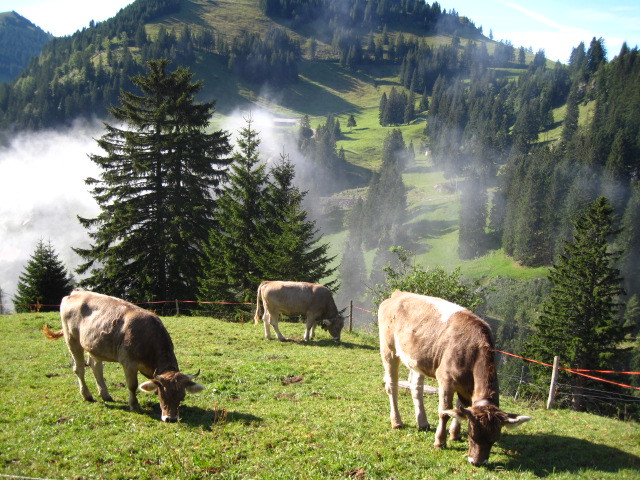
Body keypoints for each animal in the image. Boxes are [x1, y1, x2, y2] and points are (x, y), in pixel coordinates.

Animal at [43, 288, 202, 420]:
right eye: (164, 394)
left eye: (182, 396)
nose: (171, 419)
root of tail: (76, 292)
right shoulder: (129, 363)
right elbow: (132, 385)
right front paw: (134, 405)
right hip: (72, 339)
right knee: (79, 369)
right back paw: (87, 395)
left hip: (94, 345)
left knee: (95, 367)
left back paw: (105, 394)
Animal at [376, 290, 528, 464]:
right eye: (472, 435)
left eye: (494, 438)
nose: (477, 462)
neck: (473, 350)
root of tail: (399, 293)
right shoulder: (446, 380)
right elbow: (445, 411)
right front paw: (440, 442)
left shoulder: (466, 386)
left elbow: (461, 408)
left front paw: (454, 434)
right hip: (388, 349)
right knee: (391, 386)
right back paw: (397, 422)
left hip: (417, 359)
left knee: (416, 387)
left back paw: (423, 422)